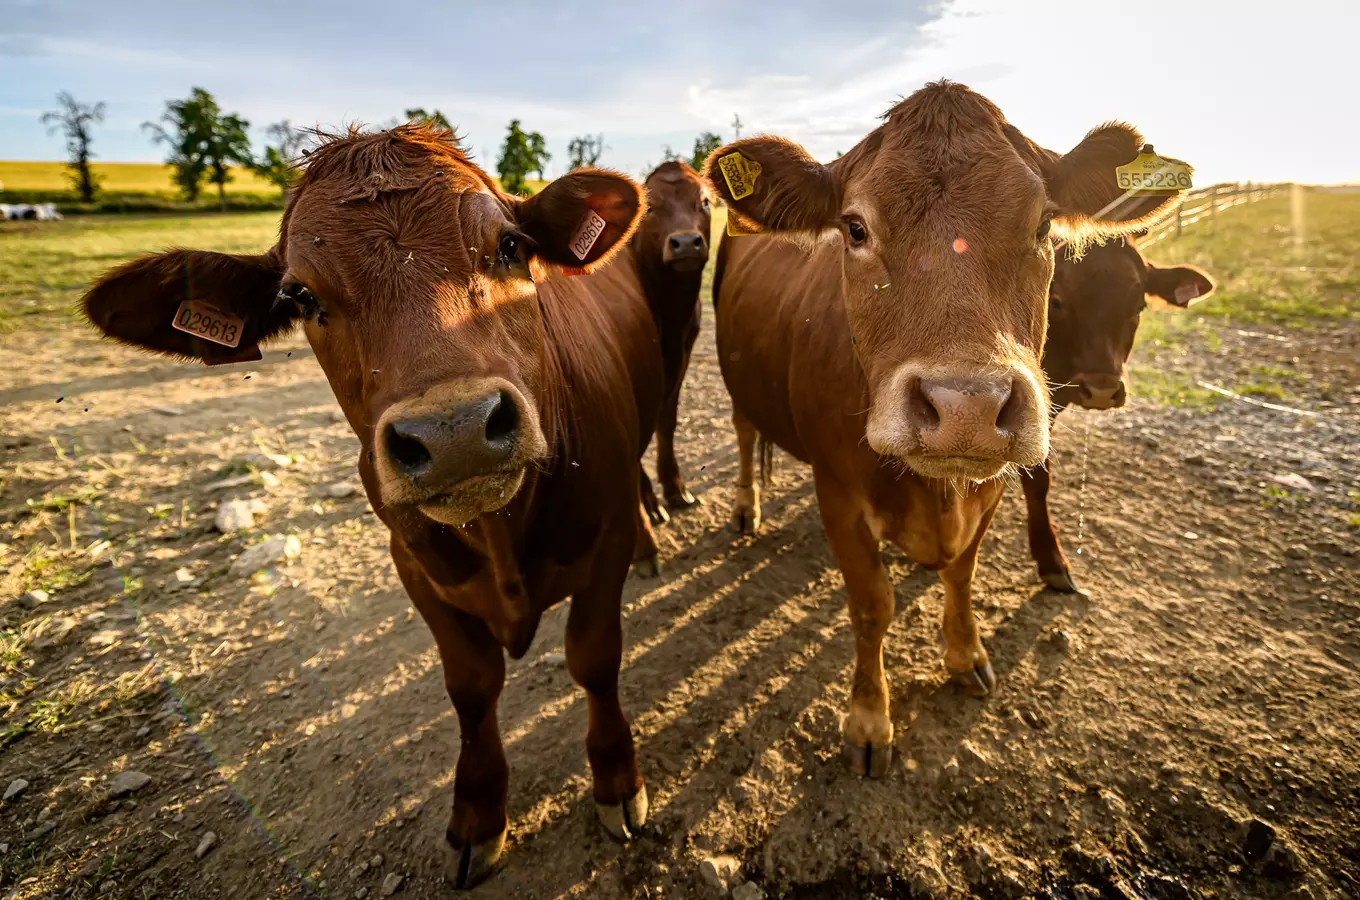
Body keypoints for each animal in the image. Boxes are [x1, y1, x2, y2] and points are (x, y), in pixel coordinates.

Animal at [79, 125, 663, 886]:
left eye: (510, 245)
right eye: (301, 297)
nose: (453, 431)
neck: (500, 538)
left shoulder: (605, 540)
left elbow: (594, 659)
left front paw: (617, 779)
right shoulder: (414, 567)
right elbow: (471, 689)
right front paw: (479, 813)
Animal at [707, 81, 1185, 777]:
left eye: (1044, 223)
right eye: (854, 228)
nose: (965, 407)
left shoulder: (989, 488)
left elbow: (962, 572)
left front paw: (965, 656)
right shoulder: (838, 495)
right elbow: (872, 604)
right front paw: (869, 718)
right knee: (745, 432)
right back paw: (747, 506)